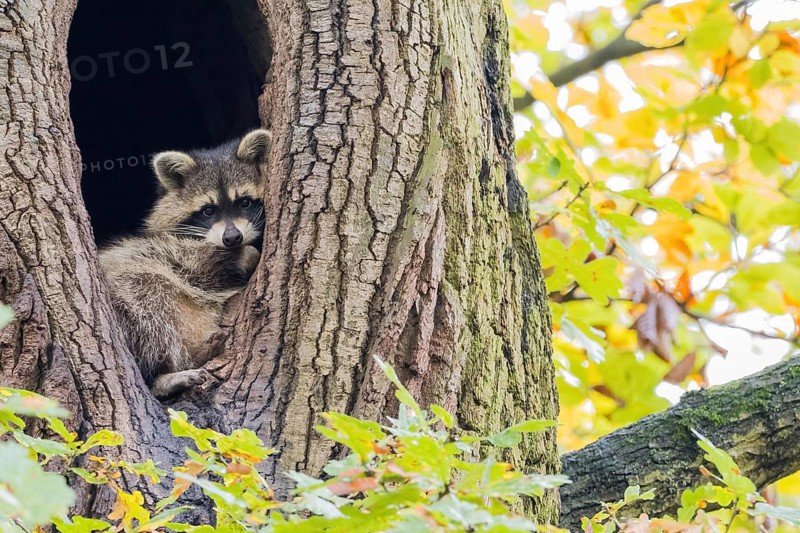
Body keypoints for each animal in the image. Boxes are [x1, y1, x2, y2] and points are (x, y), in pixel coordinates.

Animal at [100, 129, 271, 399]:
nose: (232, 238)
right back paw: (161, 377)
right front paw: (242, 256)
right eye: (208, 210)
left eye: (244, 202)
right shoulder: (166, 249)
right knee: (144, 296)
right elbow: (187, 262)